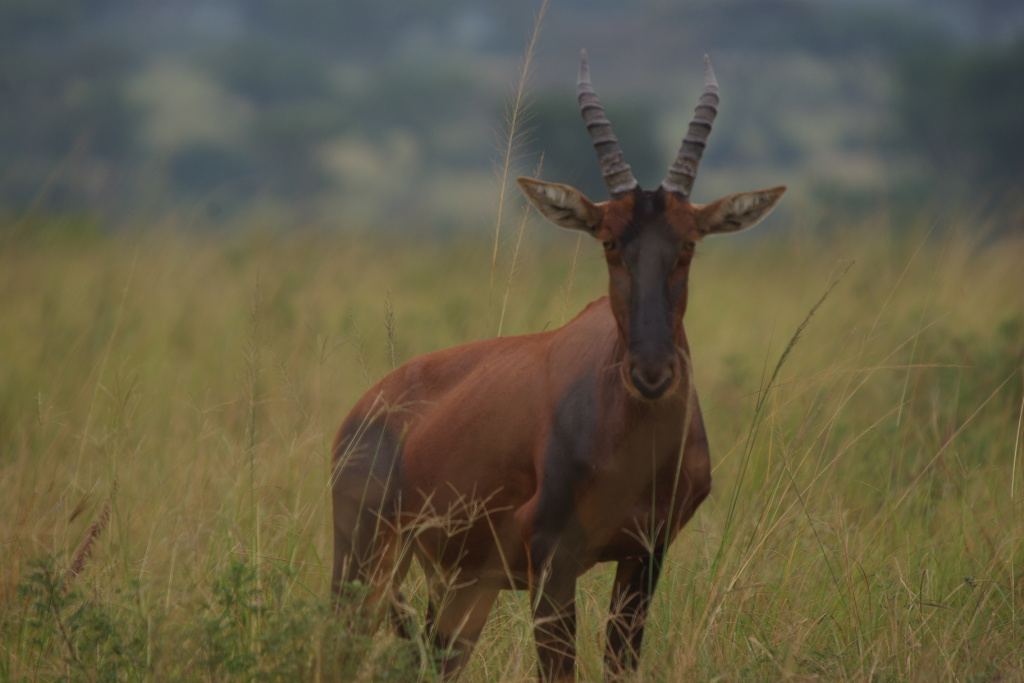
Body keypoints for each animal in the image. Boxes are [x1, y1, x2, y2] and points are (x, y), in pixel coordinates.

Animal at [331, 50, 785, 681]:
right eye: (609, 241)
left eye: (690, 242)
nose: (651, 373)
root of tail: (362, 411)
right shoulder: (552, 560)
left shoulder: (645, 555)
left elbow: (621, 662)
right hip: (365, 559)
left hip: (463, 584)